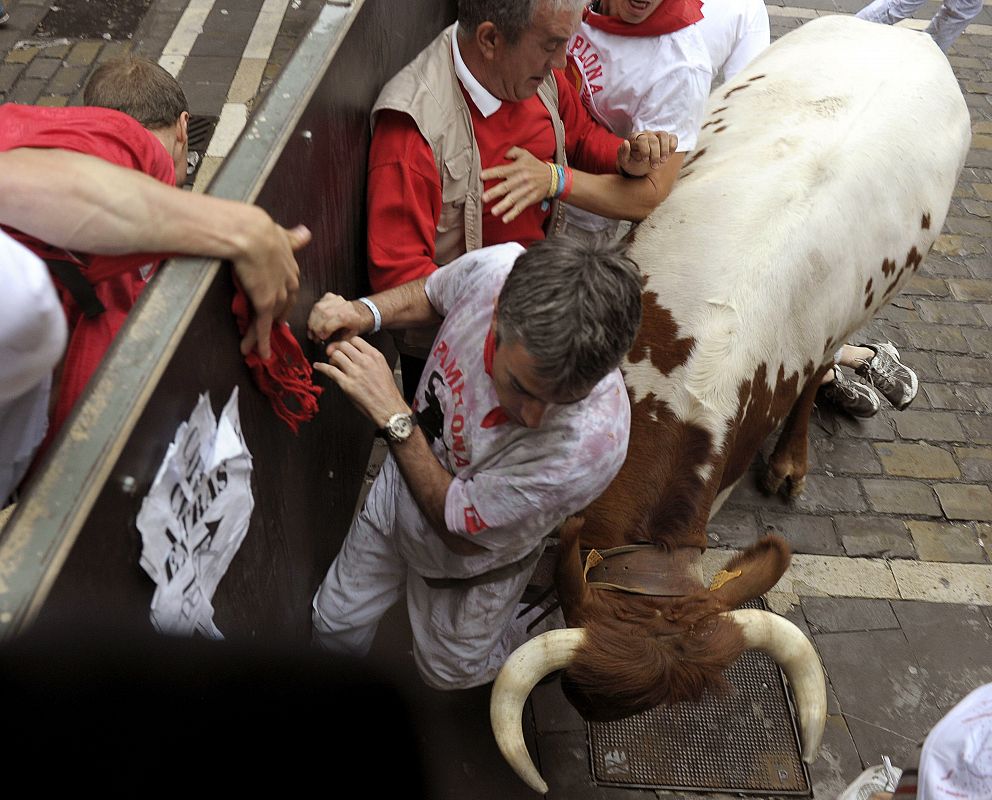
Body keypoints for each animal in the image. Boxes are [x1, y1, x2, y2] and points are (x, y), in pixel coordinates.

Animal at [492, 14, 972, 792]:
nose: (584, 707)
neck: (690, 380)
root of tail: (914, 34)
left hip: (867, 301)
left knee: (817, 375)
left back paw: (791, 460)